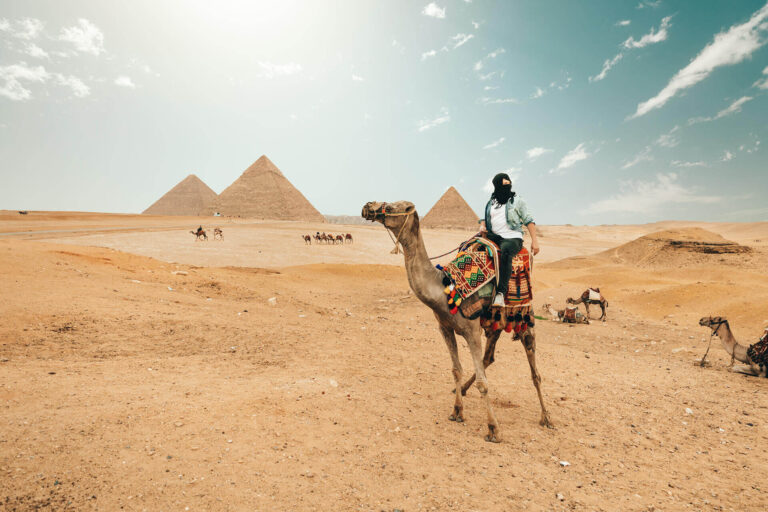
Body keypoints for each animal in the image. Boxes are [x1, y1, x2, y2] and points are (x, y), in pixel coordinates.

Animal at [362, 201, 552, 442]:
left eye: (396, 205)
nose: (368, 206)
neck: (444, 288)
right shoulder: (445, 328)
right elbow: (456, 370)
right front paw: (457, 411)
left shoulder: (471, 330)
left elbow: (483, 383)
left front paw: (494, 429)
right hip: (495, 323)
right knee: (489, 357)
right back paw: (462, 390)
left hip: (525, 319)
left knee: (534, 371)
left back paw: (547, 417)